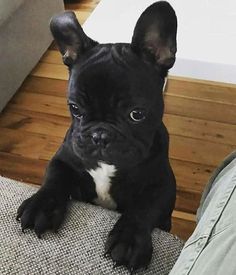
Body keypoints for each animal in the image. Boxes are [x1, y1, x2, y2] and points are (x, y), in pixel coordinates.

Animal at [17, 1, 177, 274]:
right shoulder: (63, 160)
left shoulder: (162, 184)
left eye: (137, 114)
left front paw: (129, 239)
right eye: (75, 109)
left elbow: (144, 208)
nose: (99, 135)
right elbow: (54, 180)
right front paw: (41, 206)